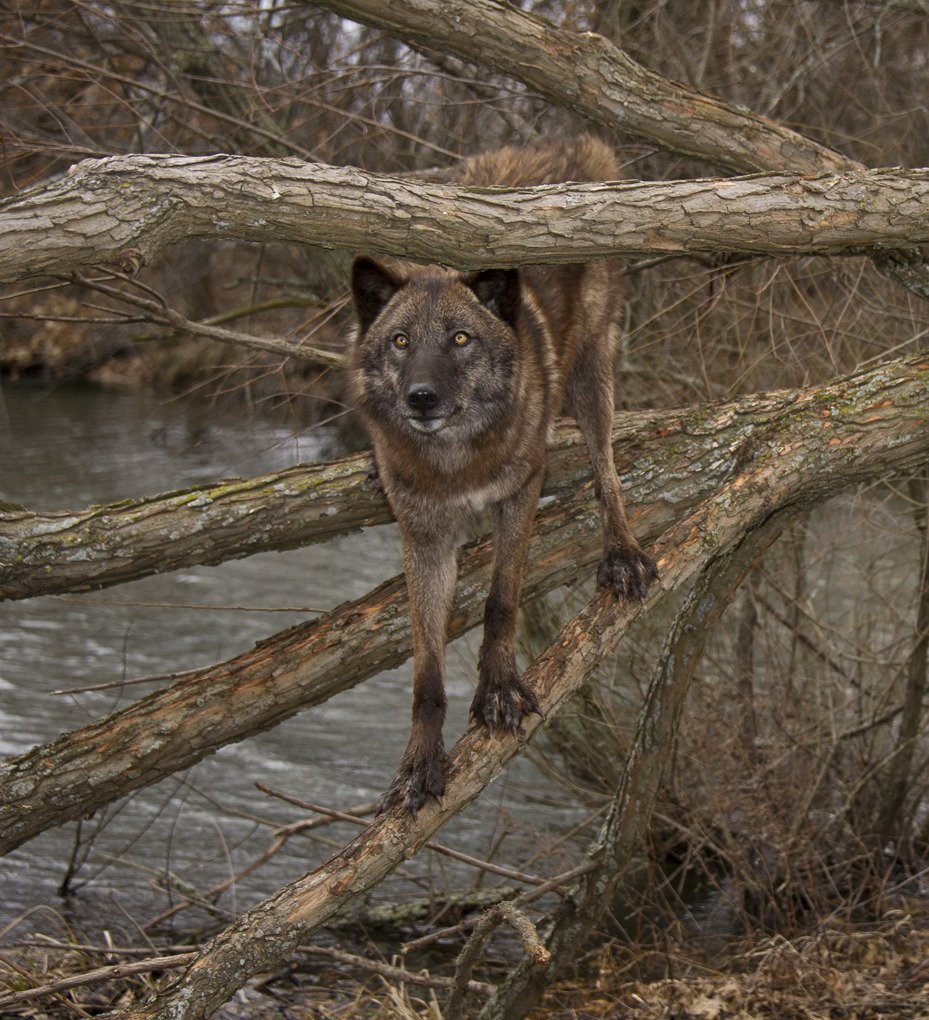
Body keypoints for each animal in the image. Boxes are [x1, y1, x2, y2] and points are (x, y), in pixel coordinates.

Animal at [348, 135, 660, 811]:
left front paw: (498, 687)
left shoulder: (518, 493)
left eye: (462, 339)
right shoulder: (425, 535)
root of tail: (572, 143)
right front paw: (420, 759)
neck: (456, 461)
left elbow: (500, 600)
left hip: (592, 368)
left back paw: (622, 550)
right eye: (401, 341)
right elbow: (426, 668)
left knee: (605, 464)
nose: (421, 398)